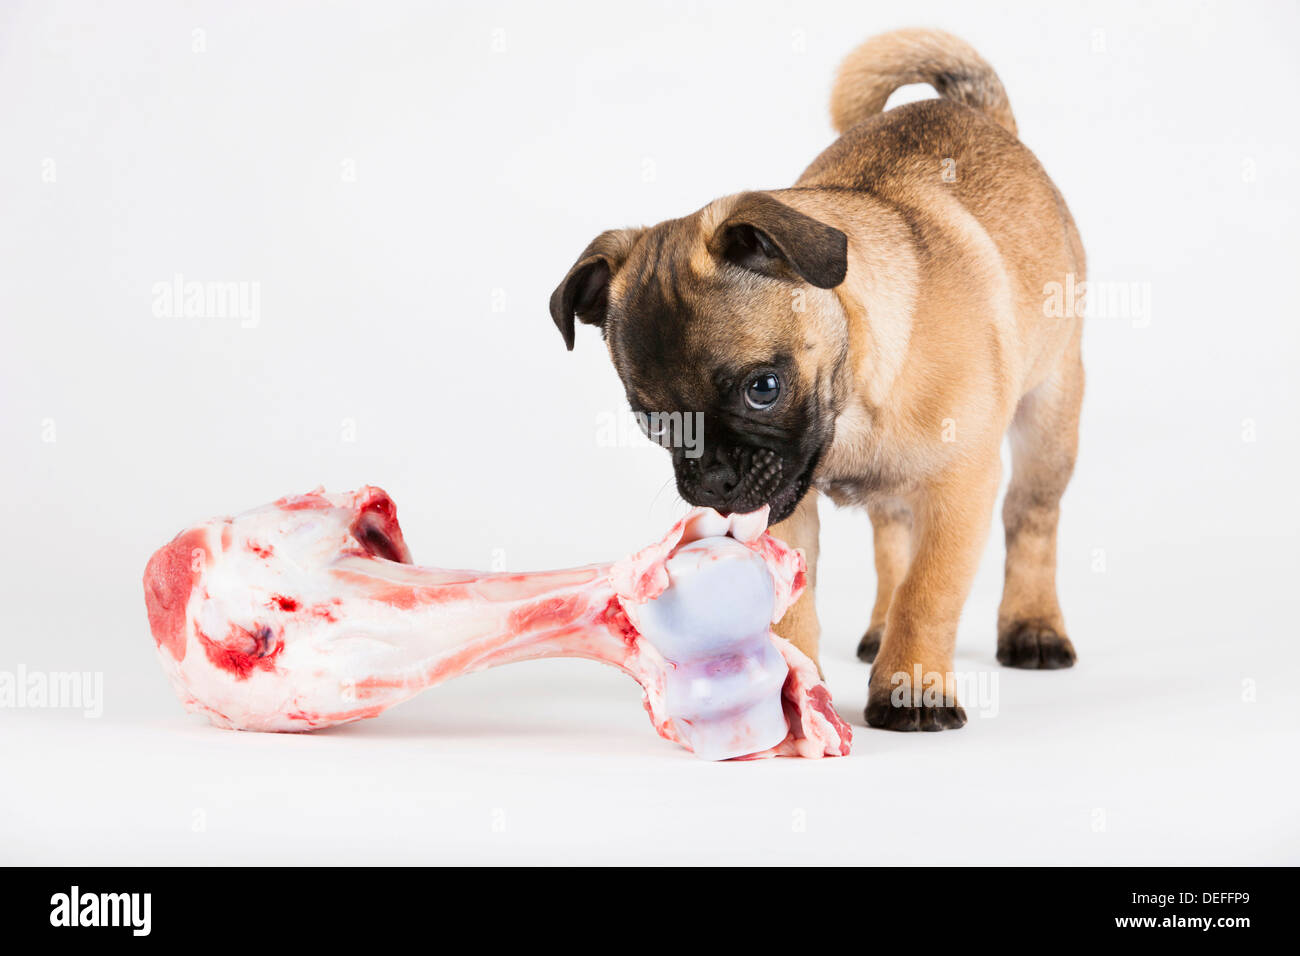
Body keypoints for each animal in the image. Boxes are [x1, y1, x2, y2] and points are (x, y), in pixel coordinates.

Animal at [551, 29, 1086, 733]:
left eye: (763, 388)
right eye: (652, 420)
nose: (712, 477)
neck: (852, 403)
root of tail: (981, 112)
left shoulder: (960, 486)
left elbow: (930, 592)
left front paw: (912, 688)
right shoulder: (784, 512)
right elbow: (794, 610)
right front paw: (794, 692)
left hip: (1049, 417)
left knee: (1032, 519)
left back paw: (1032, 627)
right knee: (893, 534)